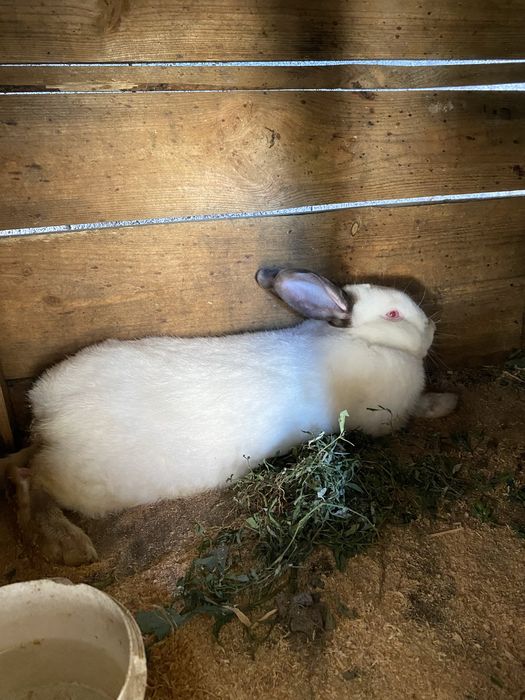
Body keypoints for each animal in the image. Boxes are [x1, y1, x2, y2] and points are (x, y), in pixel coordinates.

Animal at [1, 268, 457, 565]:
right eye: (394, 314)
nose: (433, 327)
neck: (365, 341)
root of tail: (48, 415)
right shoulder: (385, 418)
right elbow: (418, 409)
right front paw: (448, 402)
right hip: (77, 479)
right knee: (28, 480)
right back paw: (71, 547)